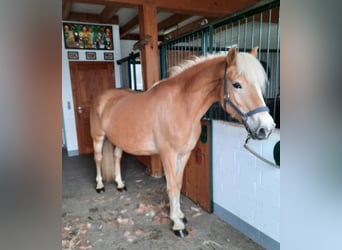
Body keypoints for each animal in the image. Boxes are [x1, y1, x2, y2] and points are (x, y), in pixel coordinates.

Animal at [90, 46, 276, 236]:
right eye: (237, 84)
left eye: (260, 86)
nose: (266, 128)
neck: (181, 107)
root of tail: (103, 97)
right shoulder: (168, 155)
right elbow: (171, 186)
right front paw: (177, 224)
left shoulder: (185, 153)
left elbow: (178, 185)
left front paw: (179, 215)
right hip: (98, 137)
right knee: (98, 158)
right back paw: (100, 186)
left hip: (119, 140)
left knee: (116, 157)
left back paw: (120, 184)